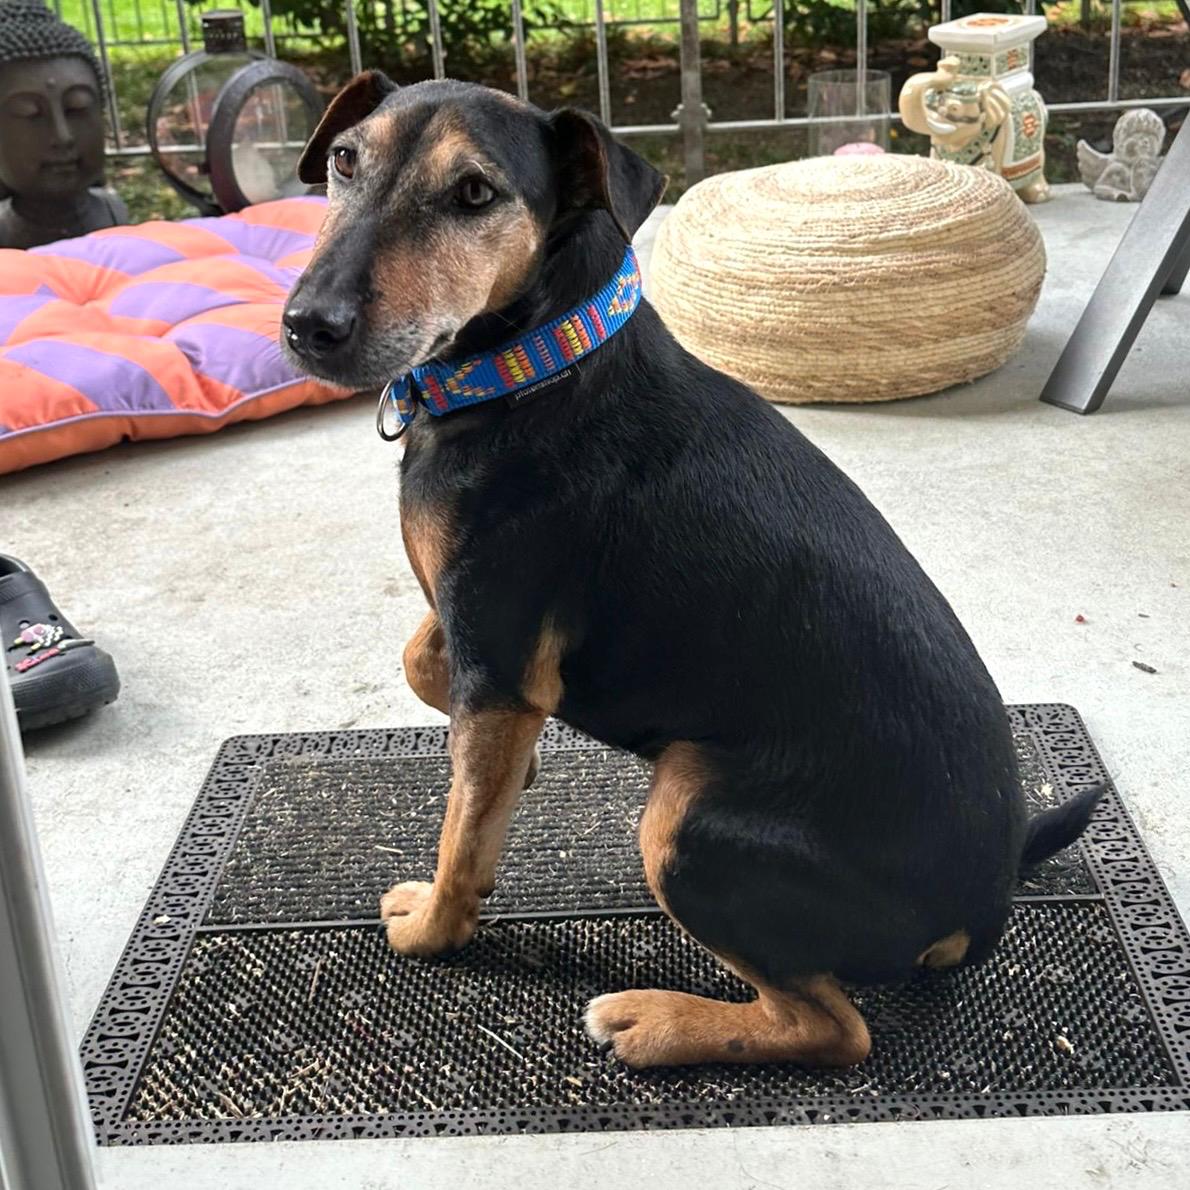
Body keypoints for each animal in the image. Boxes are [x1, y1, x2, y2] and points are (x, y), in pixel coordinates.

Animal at [282, 73, 1102, 1069]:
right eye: (342, 160)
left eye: (475, 194)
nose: (307, 327)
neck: (535, 363)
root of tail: (984, 904)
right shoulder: (490, 645)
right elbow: (425, 667)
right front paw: (508, 751)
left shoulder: (504, 659)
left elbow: (462, 837)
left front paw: (435, 928)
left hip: (686, 819)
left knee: (834, 1029)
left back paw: (656, 1021)